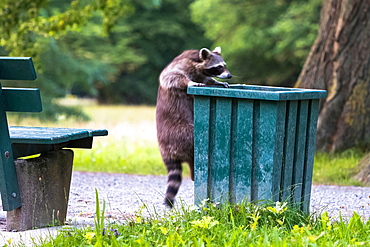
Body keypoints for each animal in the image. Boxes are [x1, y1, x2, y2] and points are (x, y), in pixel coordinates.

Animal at [155, 47, 231, 207]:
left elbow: (208, 80)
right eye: (219, 67)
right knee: (192, 141)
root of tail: (166, 151)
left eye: (224, 65)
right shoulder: (178, 67)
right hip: (180, 132)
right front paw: (190, 82)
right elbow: (172, 77)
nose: (229, 75)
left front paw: (216, 82)